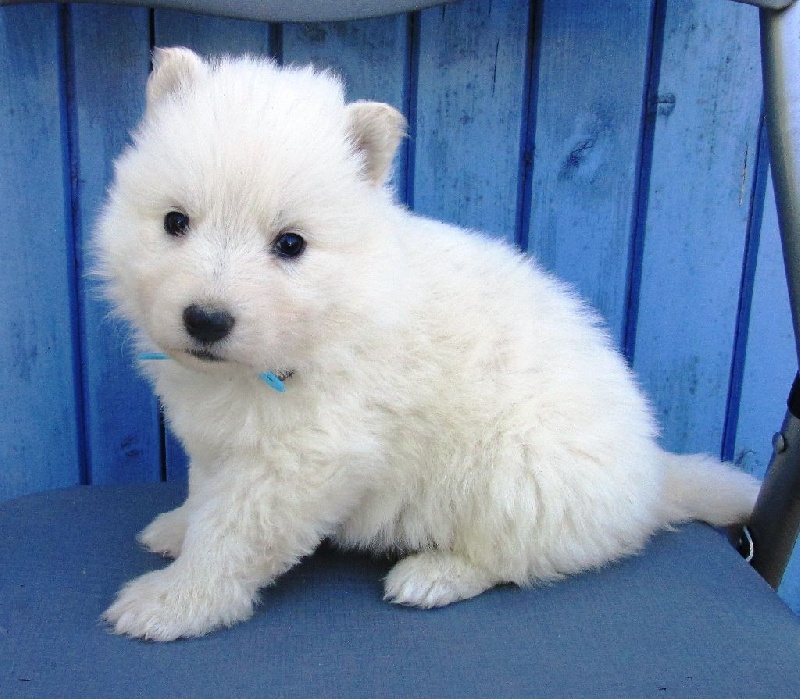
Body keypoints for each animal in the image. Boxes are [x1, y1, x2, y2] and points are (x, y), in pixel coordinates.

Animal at [95, 47, 760, 641]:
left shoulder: (300, 459)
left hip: (516, 476)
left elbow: (231, 536)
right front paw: (178, 529)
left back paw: (432, 575)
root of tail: (653, 478)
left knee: (514, 557)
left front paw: (173, 602)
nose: (206, 320)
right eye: (175, 222)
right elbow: (204, 494)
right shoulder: (219, 440)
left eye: (290, 244)